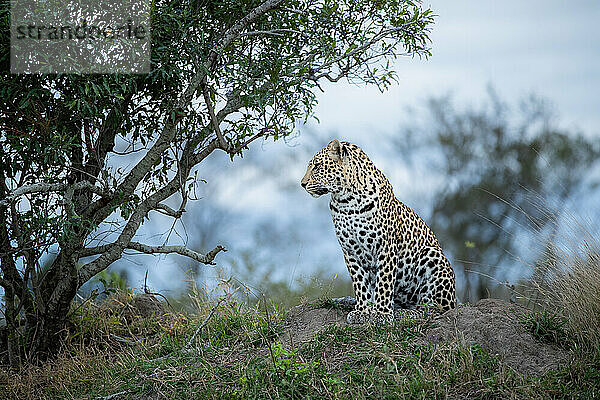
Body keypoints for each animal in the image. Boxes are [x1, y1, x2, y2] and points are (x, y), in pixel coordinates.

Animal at [300, 139, 454, 324]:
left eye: (317, 166)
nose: (302, 184)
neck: (346, 200)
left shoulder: (385, 247)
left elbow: (384, 282)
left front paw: (382, 314)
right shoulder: (350, 250)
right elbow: (360, 282)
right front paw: (363, 311)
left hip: (433, 257)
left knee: (433, 309)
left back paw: (405, 313)